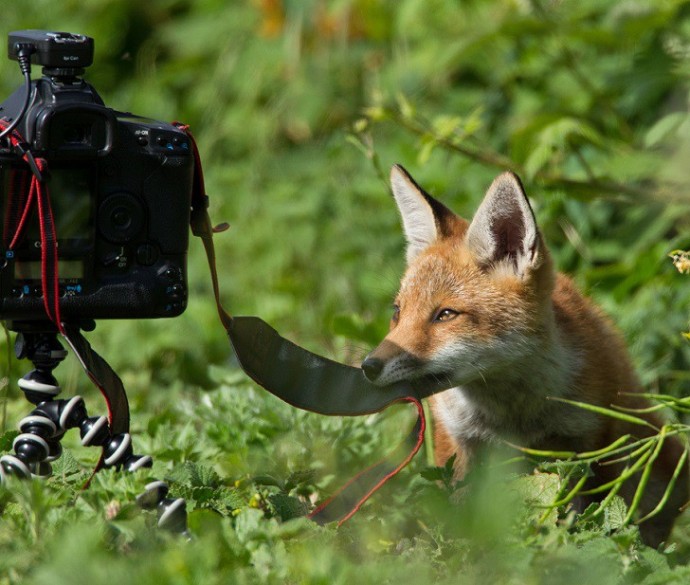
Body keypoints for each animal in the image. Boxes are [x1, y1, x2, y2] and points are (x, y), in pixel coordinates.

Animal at [362, 165, 684, 548]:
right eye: (397, 312)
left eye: (445, 315)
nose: (367, 367)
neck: (511, 416)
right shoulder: (461, 444)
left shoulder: (586, 446)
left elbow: (581, 517)